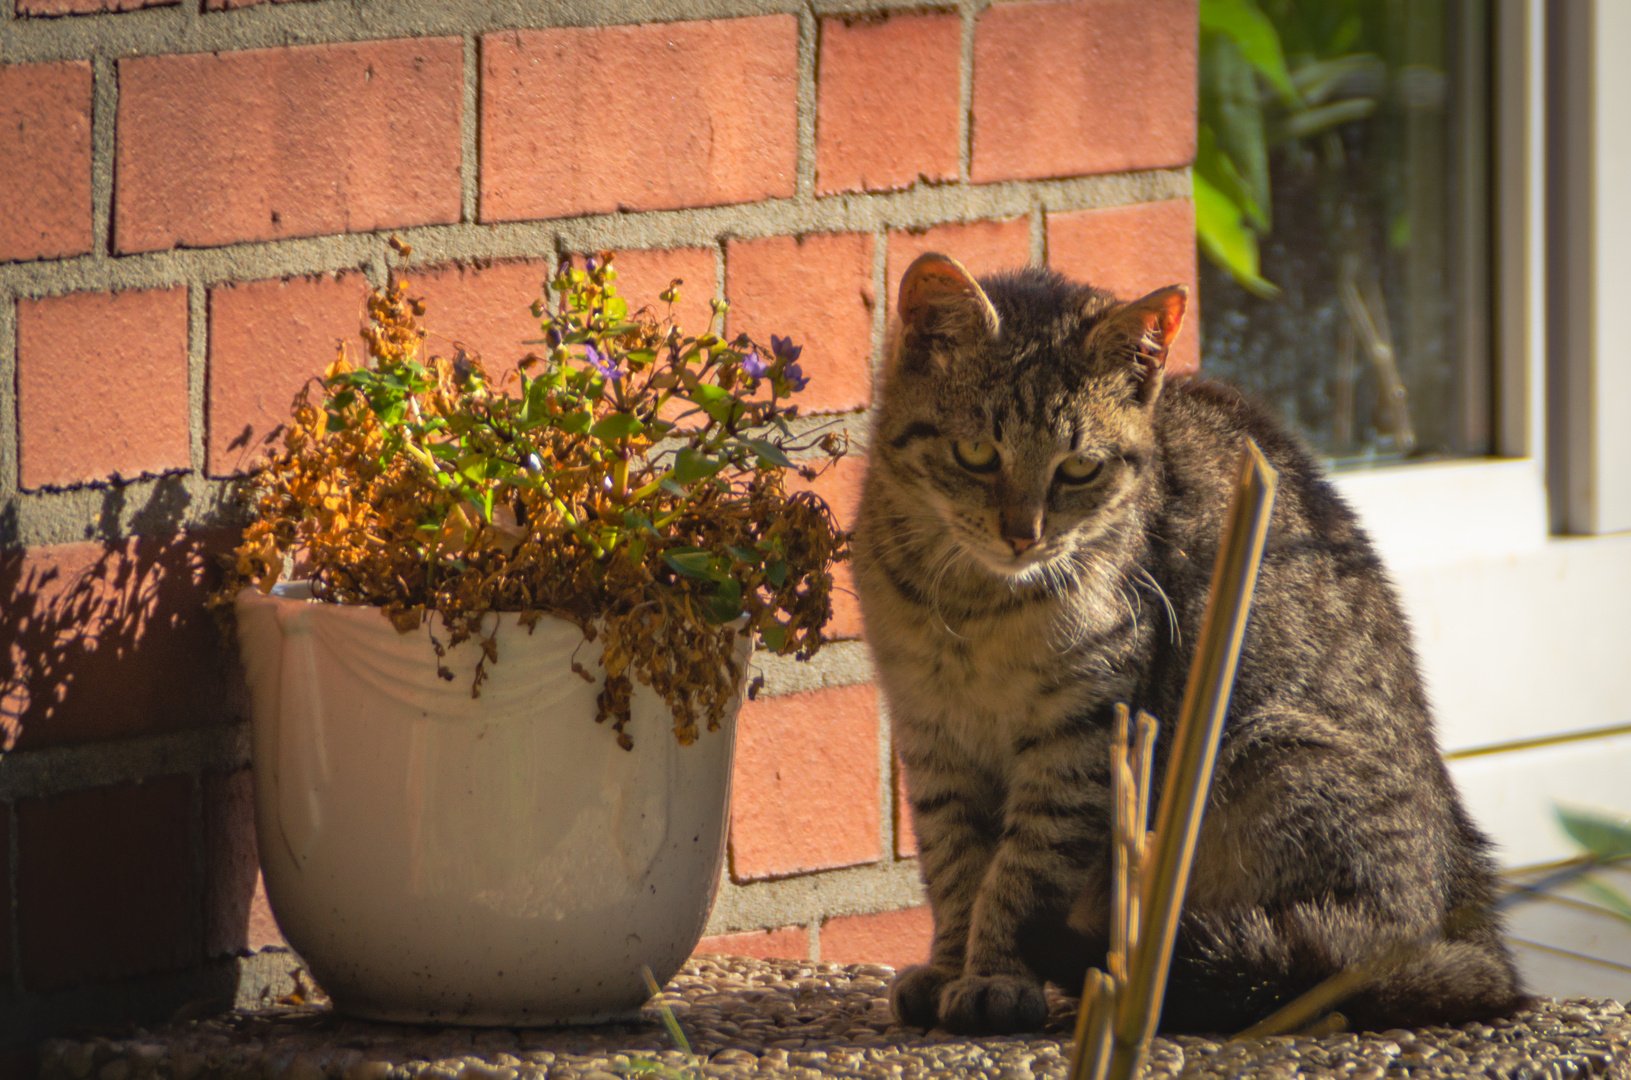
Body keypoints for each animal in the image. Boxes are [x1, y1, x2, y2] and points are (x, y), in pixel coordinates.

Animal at [854, 256, 1526, 1044]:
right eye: (975, 454)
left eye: (1078, 469)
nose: (1024, 535)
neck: (974, 608)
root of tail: (1466, 917)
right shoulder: (932, 739)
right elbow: (956, 869)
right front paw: (948, 967)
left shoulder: (1082, 739)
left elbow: (1018, 875)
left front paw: (994, 978)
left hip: (1271, 761)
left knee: (1325, 970)